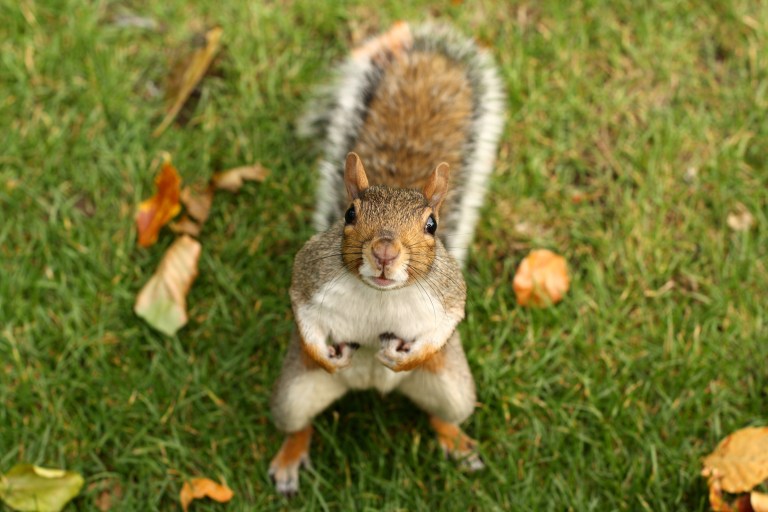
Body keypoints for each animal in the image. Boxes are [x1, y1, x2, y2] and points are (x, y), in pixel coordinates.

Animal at [268, 21, 505, 496]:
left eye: (432, 225)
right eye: (349, 214)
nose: (384, 251)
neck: (379, 294)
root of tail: (370, 387)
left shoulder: (448, 294)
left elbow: (446, 323)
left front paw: (407, 356)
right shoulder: (310, 274)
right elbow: (302, 309)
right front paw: (324, 354)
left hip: (455, 389)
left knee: (443, 415)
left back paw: (456, 442)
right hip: (293, 395)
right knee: (298, 424)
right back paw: (288, 459)